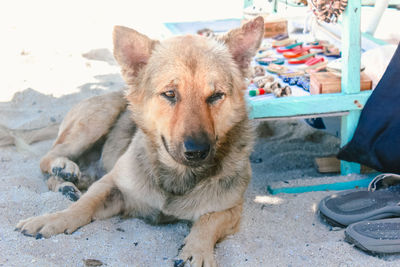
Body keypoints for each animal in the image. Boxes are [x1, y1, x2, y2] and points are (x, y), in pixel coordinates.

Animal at [16, 17, 266, 267]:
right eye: (170, 94)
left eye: (216, 96)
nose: (197, 151)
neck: (177, 176)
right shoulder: (111, 185)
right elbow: (82, 206)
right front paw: (55, 218)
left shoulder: (231, 209)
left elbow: (208, 223)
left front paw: (197, 252)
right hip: (99, 118)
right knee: (48, 157)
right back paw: (64, 168)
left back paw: (67, 183)